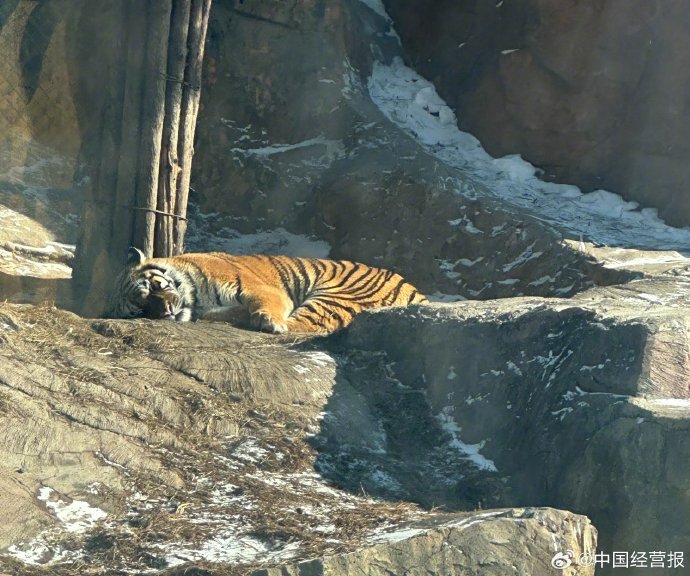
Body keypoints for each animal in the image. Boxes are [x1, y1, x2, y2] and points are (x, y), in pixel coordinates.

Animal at [107, 247, 427, 334]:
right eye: (140, 310)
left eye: (153, 286)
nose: (166, 312)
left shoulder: (259, 288)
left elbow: (265, 302)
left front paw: (265, 318)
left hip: (335, 294)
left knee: (309, 325)